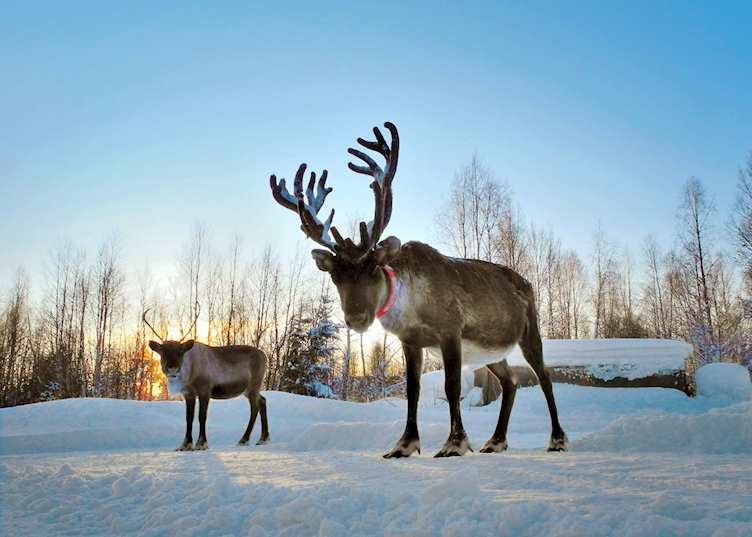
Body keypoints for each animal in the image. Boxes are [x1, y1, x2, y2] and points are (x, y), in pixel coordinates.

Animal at [143, 308, 270, 451]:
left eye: (181, 352)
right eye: (163, 351)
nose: (172, 368)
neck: (190, 372)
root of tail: (265, 356)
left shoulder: (205, 390)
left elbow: (202, 416)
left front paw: (201, 443)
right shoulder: (189, 393)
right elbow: (189, 417)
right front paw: (185, 445)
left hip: (254, 386)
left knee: (254, 408)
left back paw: (244, 440)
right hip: (248, 390)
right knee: (263, 401)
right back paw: (263, 439)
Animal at [268, 121, 567, 458]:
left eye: (373, 267)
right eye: (335, 276)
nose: (357, 318)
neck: (410, 308)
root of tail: (527, 283)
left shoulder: (450, 332)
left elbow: (452, 387)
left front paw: (455, 443)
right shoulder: (410, 341)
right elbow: (413, 390)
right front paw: (404, 444)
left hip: (530, 331)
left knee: (544, 377)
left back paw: (557, 439)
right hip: (491, 351)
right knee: (512, 381)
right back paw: (496, 440)